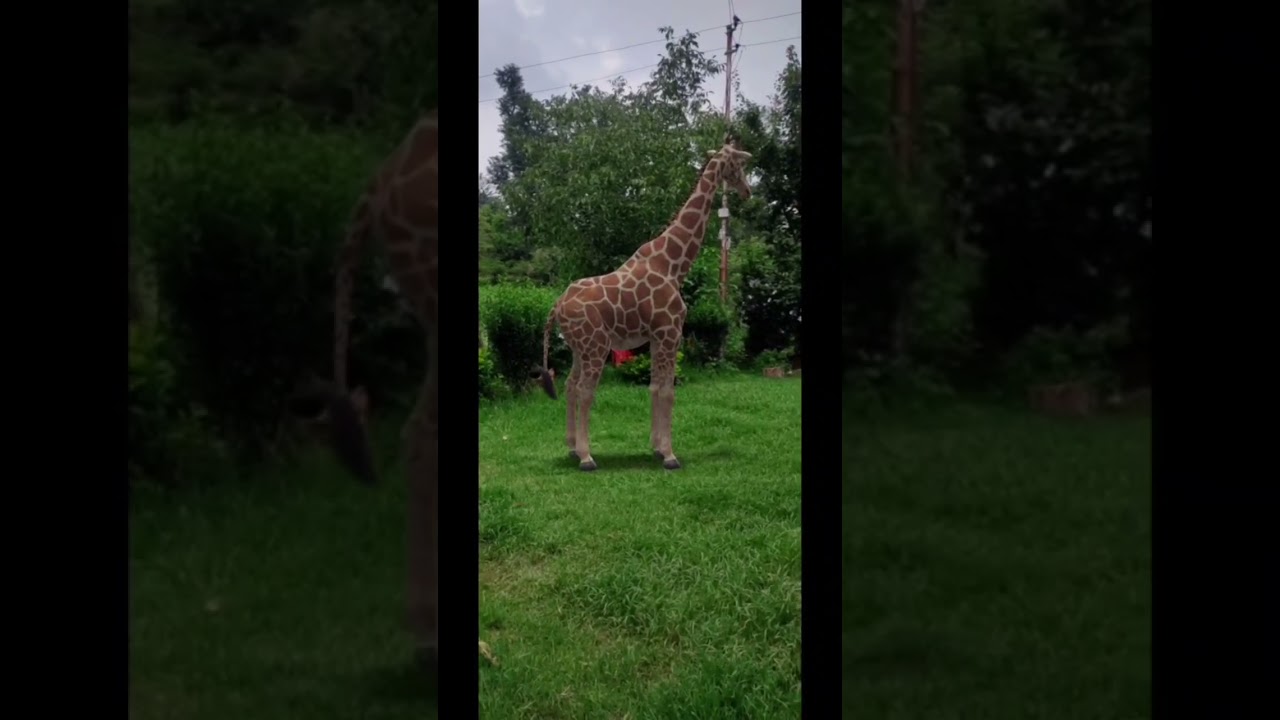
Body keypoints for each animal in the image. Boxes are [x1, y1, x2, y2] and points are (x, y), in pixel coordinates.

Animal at [534, 140, 753, 471]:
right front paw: (670, 455)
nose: (747, 191)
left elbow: (653, 387)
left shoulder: (654, 336)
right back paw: (587, 457)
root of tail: (557, 305)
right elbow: (668, 391)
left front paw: (657, 448)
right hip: (596, 346)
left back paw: (572, 448)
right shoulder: (670, 332)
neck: (673, 264)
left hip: (578, 348)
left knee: (571, 386)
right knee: (585, 391)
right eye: (738, 164)